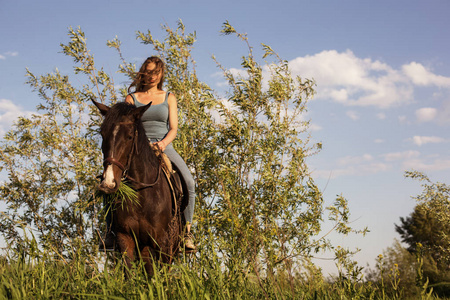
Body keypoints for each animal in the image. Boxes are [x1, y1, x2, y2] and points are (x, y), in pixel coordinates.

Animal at [92, 101, 184, 276]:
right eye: (103, 134)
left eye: (129, 136)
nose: (108, 182)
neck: (142, 195)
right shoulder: (125, 237)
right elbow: (130, 274)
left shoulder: (162, 242)